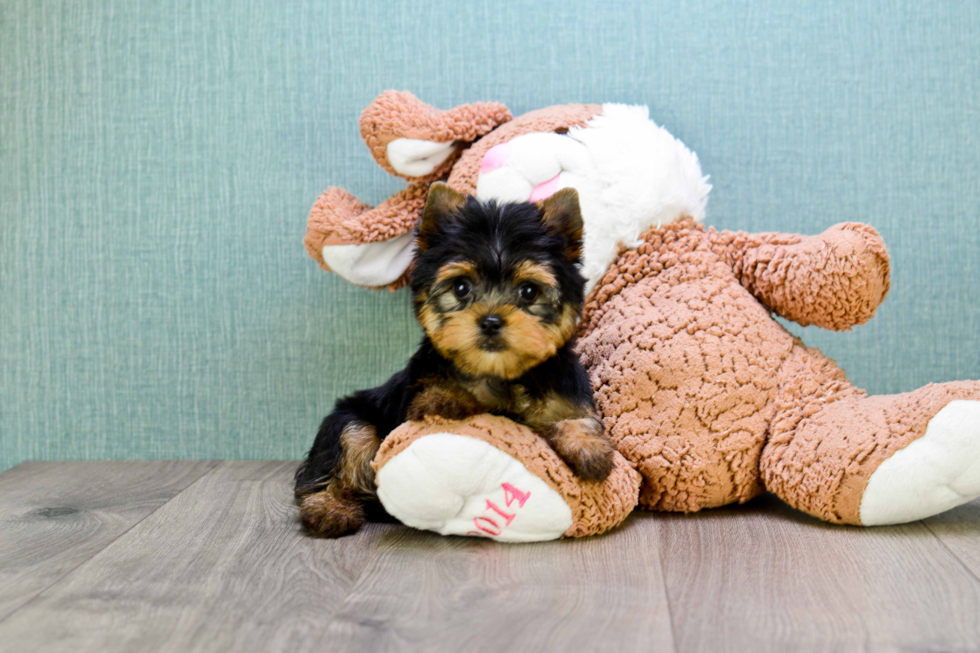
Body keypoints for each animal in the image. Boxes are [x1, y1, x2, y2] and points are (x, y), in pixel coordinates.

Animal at [292, 182, 612, 536]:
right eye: (461, 287)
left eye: (529, 291)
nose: (490, 321)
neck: (500, 372)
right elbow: (446, 396)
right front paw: (446, 399)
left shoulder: (565, 391)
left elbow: (576, 416)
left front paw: (589, 447)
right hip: (351, 417)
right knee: (340, 450)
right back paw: (329, 508)